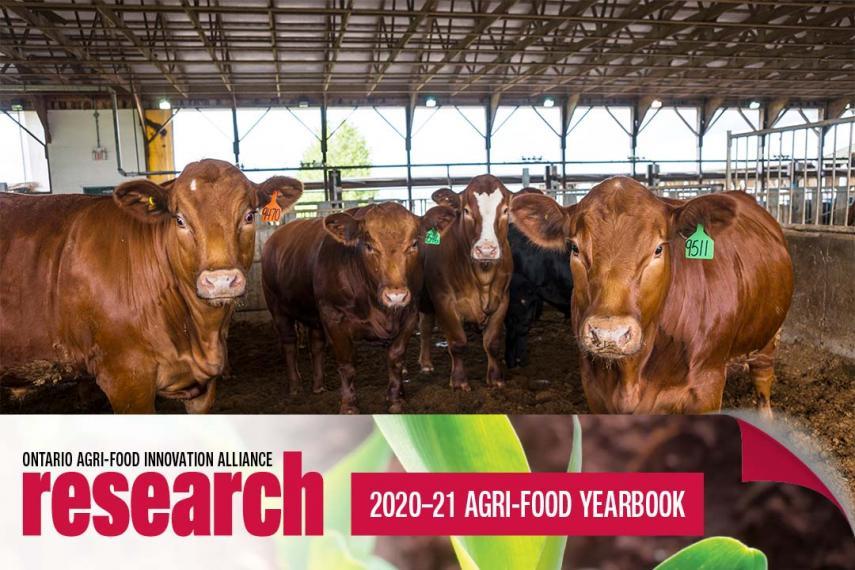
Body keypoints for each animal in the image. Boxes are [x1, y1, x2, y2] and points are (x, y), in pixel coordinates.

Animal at [264, 202, 458, 410]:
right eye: (369, 246)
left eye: (414, 244)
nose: (395, 296)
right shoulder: (334, 317)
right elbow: (347, 363)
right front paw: (349, 406)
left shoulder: (410, 314)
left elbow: (396, 358)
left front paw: (396, 400)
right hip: (278, 309)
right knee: (289, 343)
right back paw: (295, 386)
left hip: (314, 314)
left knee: (316, 345)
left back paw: (318, 386)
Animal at [416, 175, 516, 388]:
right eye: (467, 211)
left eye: (505, 210)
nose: (486, 250)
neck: (482, 275)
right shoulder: (444, 300)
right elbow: (457, 343)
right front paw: (459, 381)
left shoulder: (503, 299)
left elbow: (493, 343)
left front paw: (496, 379)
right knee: (425, 328)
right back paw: (425, 363)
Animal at [508, 176, 796, 412]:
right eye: (575, 248)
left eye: (658, 249)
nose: (609, 335)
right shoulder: (594, 390)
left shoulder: (707, 387)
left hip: (768, 339)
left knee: (763, 384)